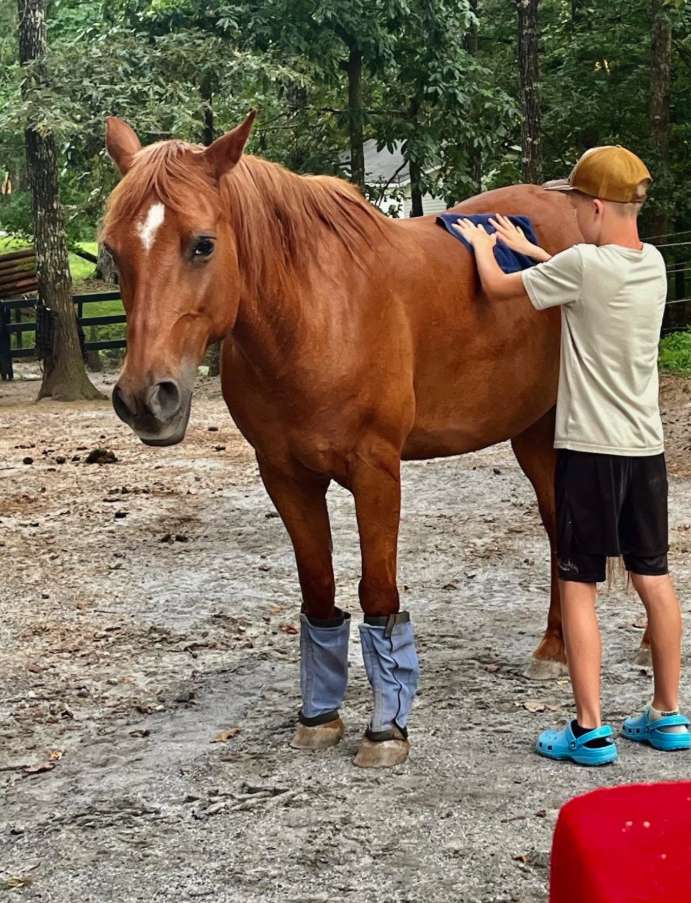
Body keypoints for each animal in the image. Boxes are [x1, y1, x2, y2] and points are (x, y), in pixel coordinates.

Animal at [102, 112, 649, 768]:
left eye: (202, 243)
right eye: (111, 253)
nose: (144, 398)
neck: (314, 314)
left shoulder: (376, 471)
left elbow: (378, 591)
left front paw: (387, 728)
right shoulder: (285, 476)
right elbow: (318, 591)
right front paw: (319, 716)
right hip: (535, 431)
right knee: (554, 525)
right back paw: (553, 648)